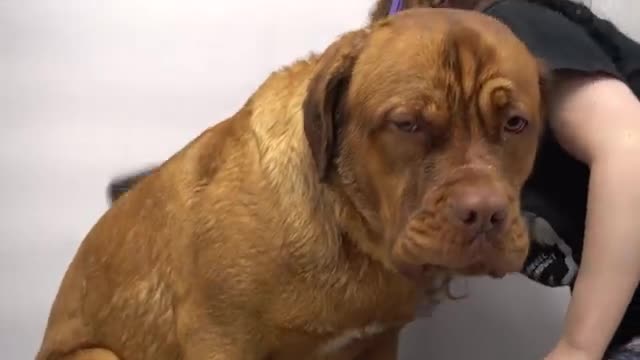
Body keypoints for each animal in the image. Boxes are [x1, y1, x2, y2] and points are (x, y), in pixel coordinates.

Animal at [36, 8, 544, 360]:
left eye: (516, 123)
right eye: (407, 124)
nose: (485, 212)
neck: (352, 232)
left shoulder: (379, 341)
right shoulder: (221, 341)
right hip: (97, 356)